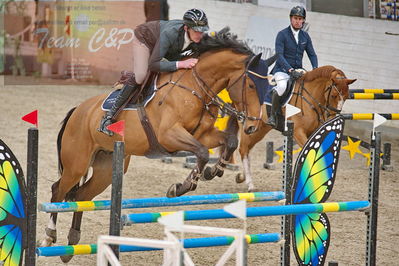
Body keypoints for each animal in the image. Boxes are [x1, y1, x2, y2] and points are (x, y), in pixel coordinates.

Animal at [40, 34, 274, 260]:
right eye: (251, 85)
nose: (253, 126)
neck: (195, 86)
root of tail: (78, 110)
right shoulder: (169, 135)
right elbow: (201, 153)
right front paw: (181, 187)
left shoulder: (204, 135)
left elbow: (229, 142)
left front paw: (214, 171)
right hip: (77, 164)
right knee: (58, 191)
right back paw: (49, 236)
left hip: (106, 169)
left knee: (81, 197)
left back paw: (71, 242)